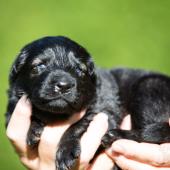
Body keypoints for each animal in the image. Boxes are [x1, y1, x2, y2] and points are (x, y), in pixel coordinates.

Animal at [4, 35, 170, 169]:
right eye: (40, 65)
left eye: (80, 70)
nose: (63, 85)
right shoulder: (12, 108)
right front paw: (34, 128)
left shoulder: (105, 111)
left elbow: (79, 124)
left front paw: (66, 152)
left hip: (149, 87)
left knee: (162, 130)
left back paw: (116, 135)